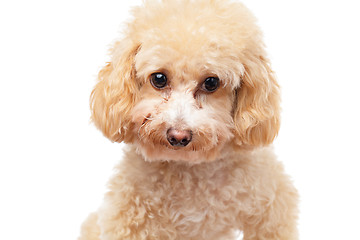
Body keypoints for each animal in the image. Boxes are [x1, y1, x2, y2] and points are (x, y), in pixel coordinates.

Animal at [79, 0, 298, 239]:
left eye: (211, 83)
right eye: (159, 78)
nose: (178, 136)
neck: (189, 171)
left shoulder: (272, 206)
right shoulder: (128, 216)